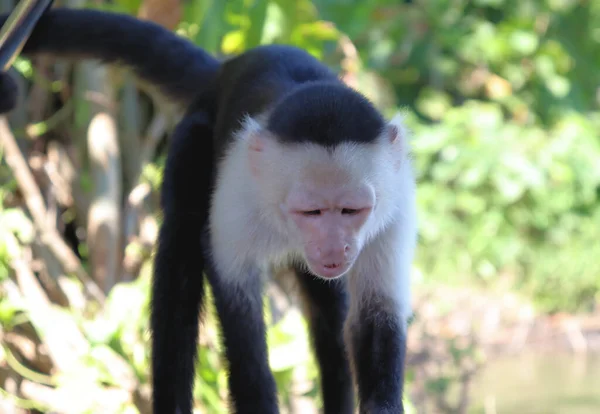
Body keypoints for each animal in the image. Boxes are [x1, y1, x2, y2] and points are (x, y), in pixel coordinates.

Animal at [0, 7, 420, 414]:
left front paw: (381, 403)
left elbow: (377, 312)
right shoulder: (238, 190)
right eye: (311, 212)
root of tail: (223, 71)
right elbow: (236, 308)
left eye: (351, 210)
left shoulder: (396, 201)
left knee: (328, 311)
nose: (335, 247)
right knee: (180, 248)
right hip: (193, 135)